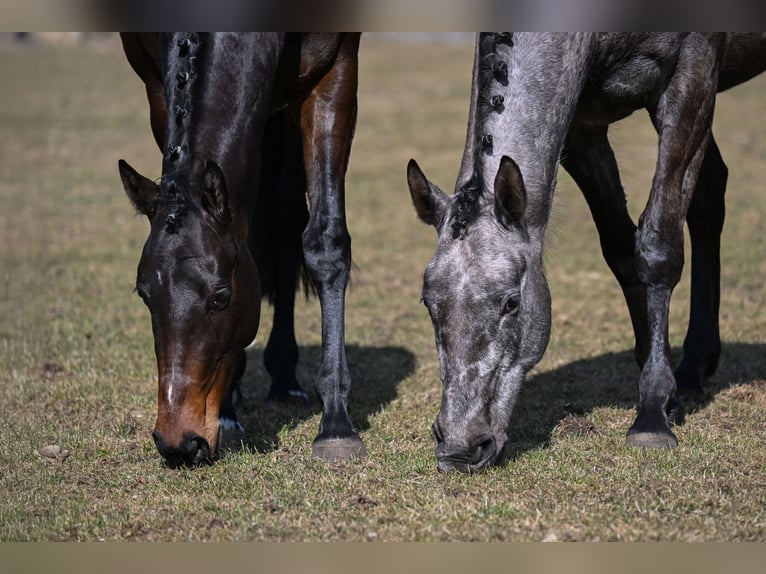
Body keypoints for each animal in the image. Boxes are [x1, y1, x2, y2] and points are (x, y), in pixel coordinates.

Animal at [118, 33, 364, 466]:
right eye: (144, 294)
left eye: (221, 296)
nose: (178, 442)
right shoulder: (156, 86)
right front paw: (229, 417)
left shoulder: (335, 72)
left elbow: (326, 243)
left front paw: (337, 426)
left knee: (285, 220)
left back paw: (285, 380)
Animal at [407, 33, 766, 473]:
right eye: (427, 303)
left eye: (511, 303)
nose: (460, 448)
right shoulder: (583, 126)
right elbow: (621, 249)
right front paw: (665, 392)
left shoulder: (692, 80)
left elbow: (657, 248)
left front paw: (652, 415)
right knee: (708, 196)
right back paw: (693, 369)